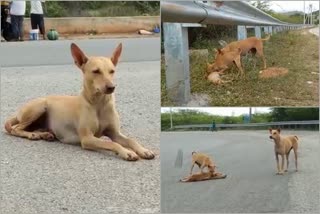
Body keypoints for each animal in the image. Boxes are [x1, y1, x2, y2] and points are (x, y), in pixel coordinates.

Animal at [4, 42, 155, 161]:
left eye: (112, 71)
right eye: (96, 71)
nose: (111, 87)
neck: (99, 103)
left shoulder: (115, 133)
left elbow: (131, 140)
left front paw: (143, 150)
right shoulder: (87, 138)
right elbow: (112, 144)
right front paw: (126, 152)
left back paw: (44, 134)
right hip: (40, 106)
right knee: (16, 129)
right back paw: (33, 134)